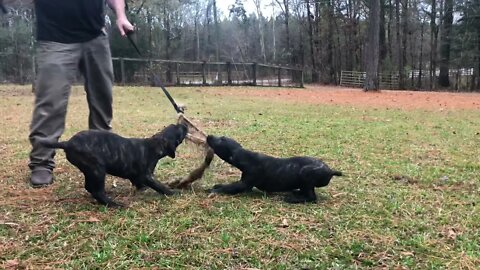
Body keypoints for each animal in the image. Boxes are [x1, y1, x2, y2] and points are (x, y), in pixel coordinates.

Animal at [40, 123, 188, 208]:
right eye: (179, 130)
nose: (184, 123)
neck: (155, 144)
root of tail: (68, 143)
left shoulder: (137, 176)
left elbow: (139, 183)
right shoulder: (146, 175)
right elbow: (159, 186)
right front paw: (172, 192)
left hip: (90, 171)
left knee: (90, 187)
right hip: (97, 169)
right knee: (97, 191)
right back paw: (114, 204)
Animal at [206, 135, 342, 202]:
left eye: (222, 140)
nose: (209, 135)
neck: (246, 156)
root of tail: (330, 171)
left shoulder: (244, 184)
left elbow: (228, 187)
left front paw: (215, 190)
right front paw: (217, 186)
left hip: (305, 174)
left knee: (312, 198)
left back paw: (293, 199)